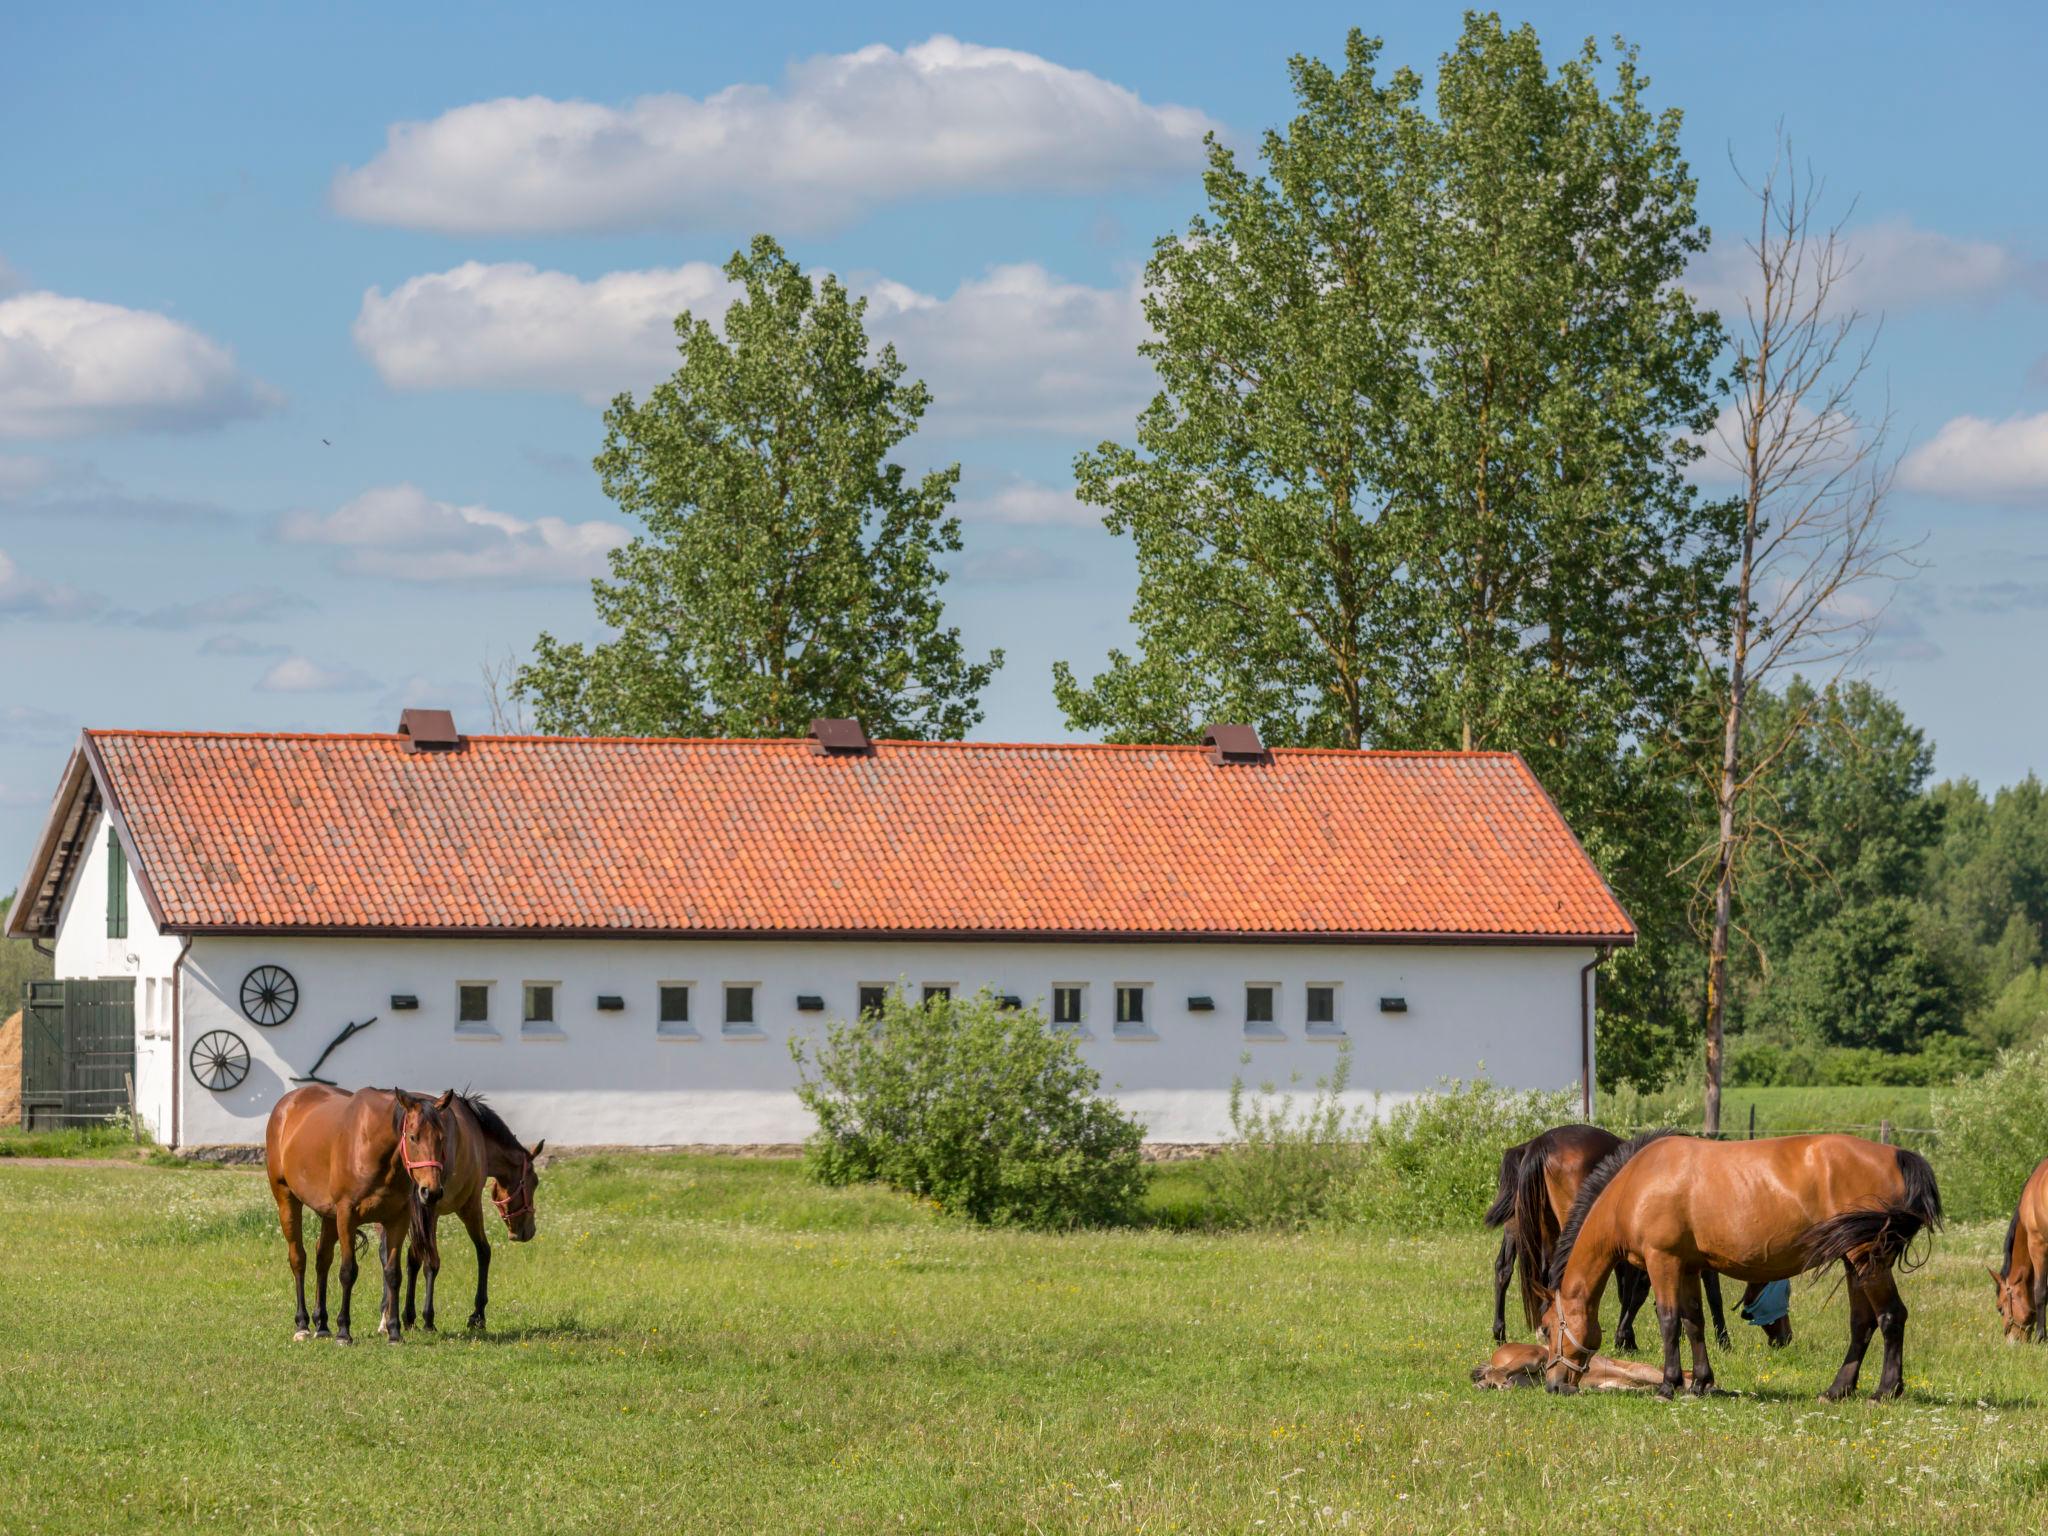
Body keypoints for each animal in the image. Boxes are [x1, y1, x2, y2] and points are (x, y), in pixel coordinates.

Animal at [266, 1081, 454, 1343]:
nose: (432, 1191)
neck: (373, 1148)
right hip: (287, 1199)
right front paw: (344, 1331)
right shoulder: (347, 1216)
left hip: (328, 1215)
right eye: (413, 1137)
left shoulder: (397, 1219)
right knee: (298, 1259)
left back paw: (322, 1324)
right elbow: (348, 1271)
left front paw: (394, 1332)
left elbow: (393, 1273)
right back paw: (302, 1325)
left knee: (322, 1259)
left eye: (441, 1138)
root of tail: (286, 1105)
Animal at [1482, 1122, 1736, 1351]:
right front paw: (1723, 1341)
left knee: (1508, 1269)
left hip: (1529, 1228)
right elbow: (1706, 1292)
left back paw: (1505, 1332)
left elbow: (1629, 1288)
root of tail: (1538, 1144)